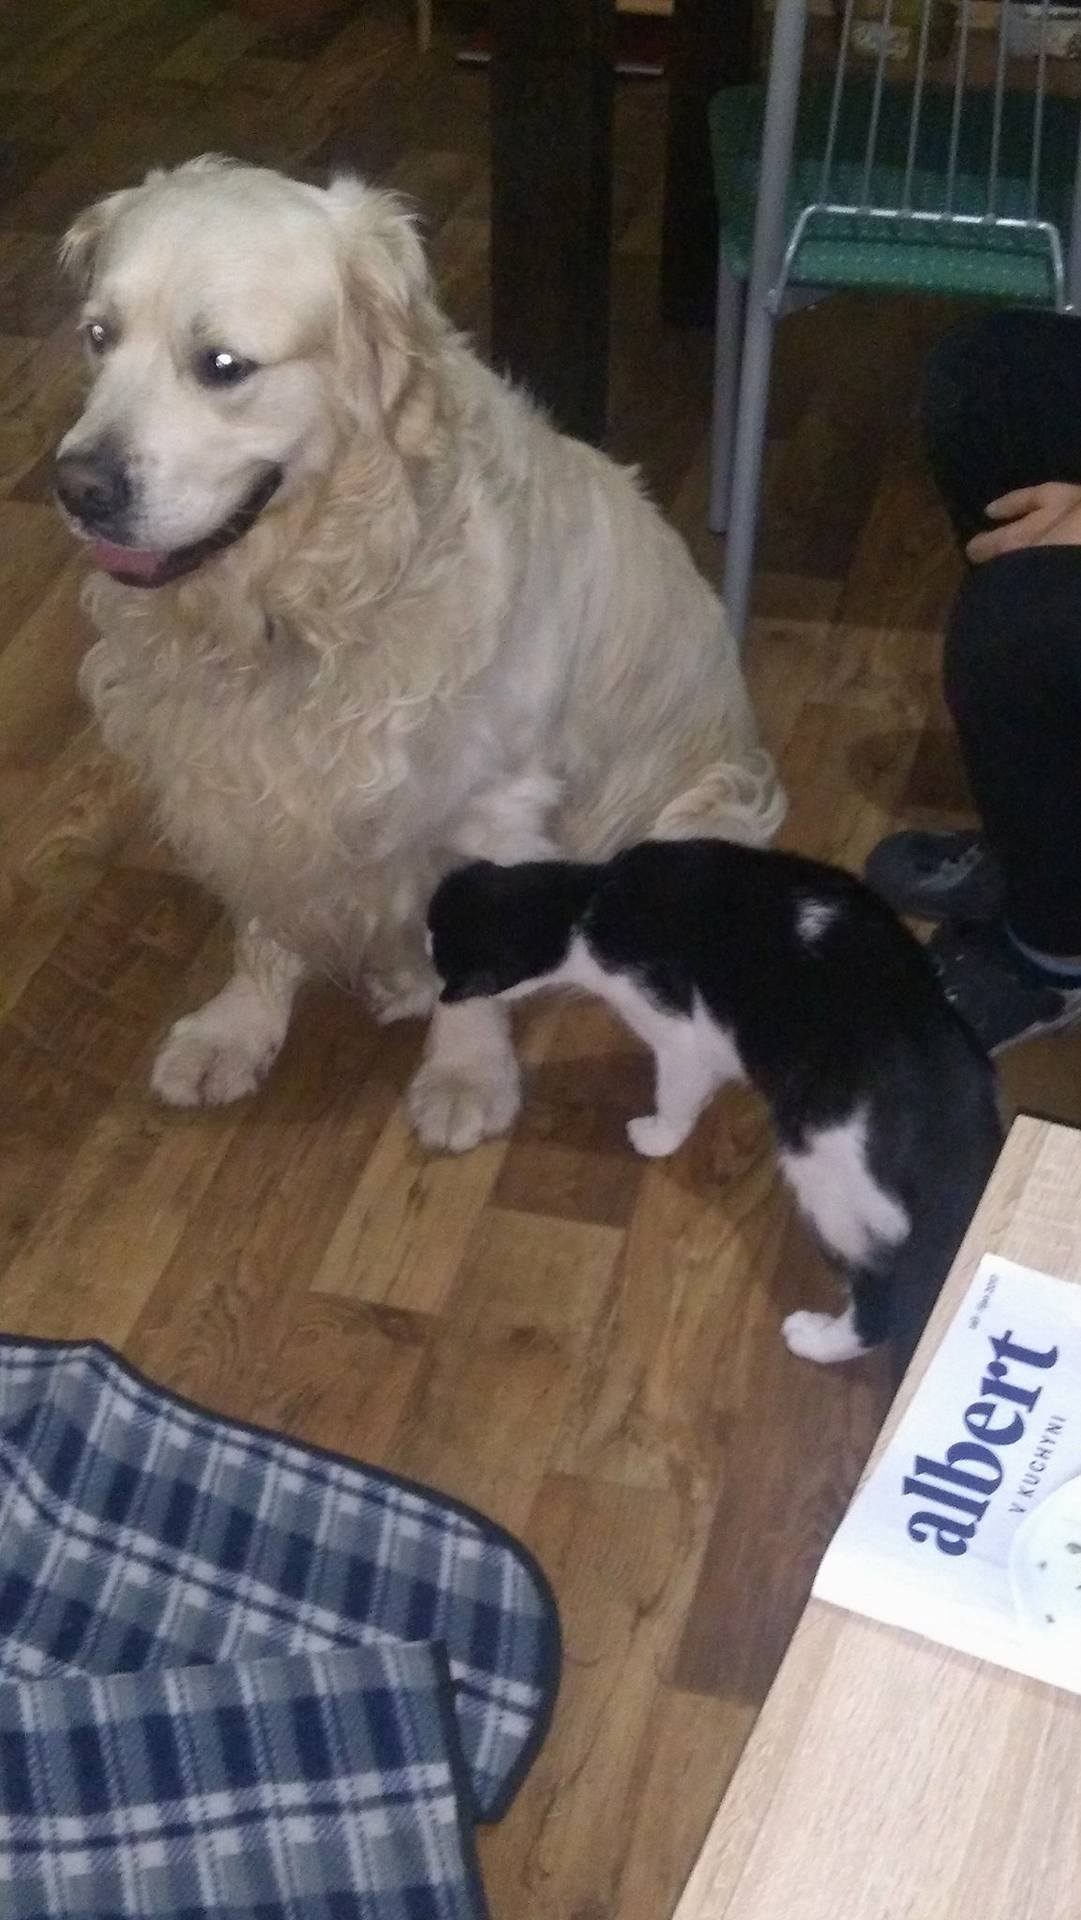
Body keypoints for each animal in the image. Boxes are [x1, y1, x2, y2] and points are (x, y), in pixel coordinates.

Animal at [55, 157, 783, 1151]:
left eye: (222, 366)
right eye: (99, 336)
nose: (75, 487)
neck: (298, 612)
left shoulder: (493, 804)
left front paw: (467, 1074)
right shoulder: (244, 786)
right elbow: (263, 916)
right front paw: (239, 1027)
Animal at [427, 839, 1002, 1372]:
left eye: (438, 958)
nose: (436, 992)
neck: (586, 903)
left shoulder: (676, 1029)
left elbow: (677, 1093)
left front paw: (657, 1135)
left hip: (830, 1177)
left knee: (885, 1298)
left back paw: (816, 1339)